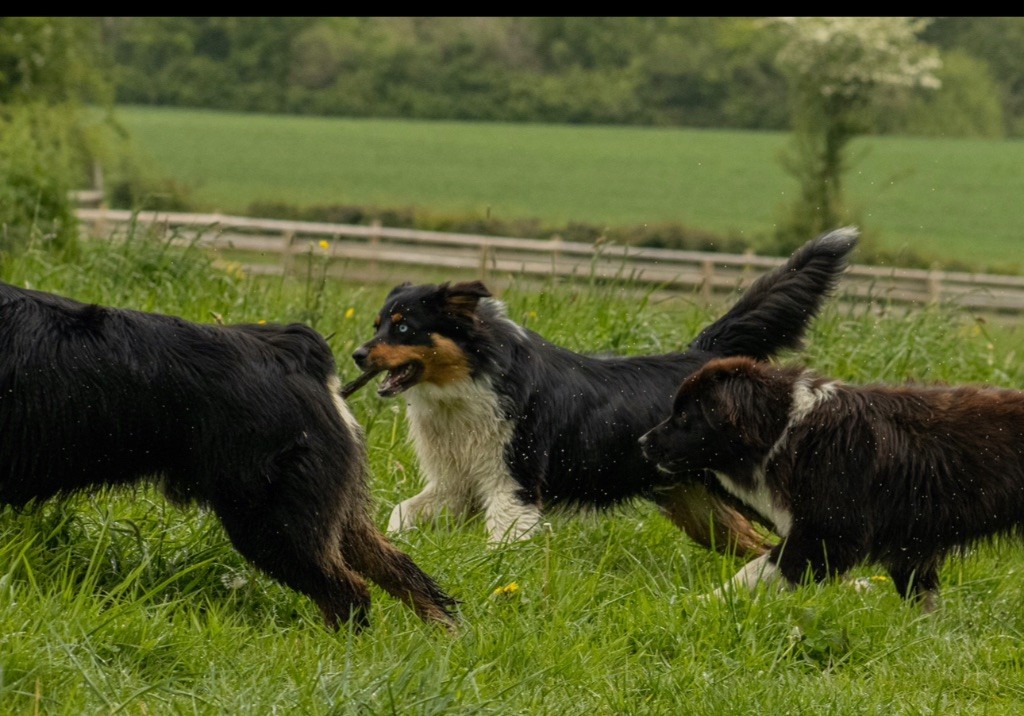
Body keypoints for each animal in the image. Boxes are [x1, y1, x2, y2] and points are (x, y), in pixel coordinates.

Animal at [0, 282, 456, 630]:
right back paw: (442, 638)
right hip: (329, 514)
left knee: (348, 593)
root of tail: (298, 357)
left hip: (272, 522)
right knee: (403, 573)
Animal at [350, 228, 856, 553]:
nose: (356, 355)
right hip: (698, 508)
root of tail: (701, 358)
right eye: (378, 326)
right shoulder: (457, 484)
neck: (471, 381)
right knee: (756, 546)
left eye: (404, 327)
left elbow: (503, 542)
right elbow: (401, 514)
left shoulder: (512, 483)